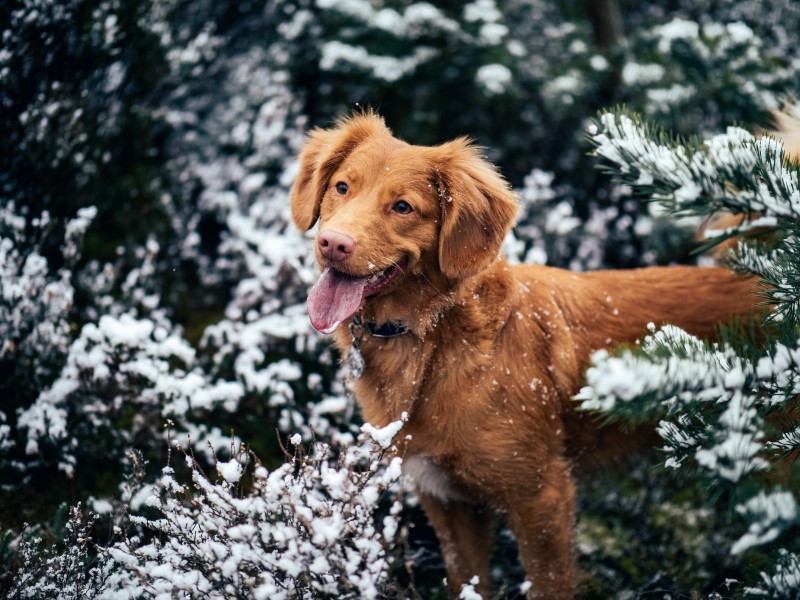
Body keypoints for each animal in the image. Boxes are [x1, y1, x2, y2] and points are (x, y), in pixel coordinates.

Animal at [290, 111, 764, 596]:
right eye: (341, 187)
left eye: (403, 207)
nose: (333, 243)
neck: (433, 341)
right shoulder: (447, 501)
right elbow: (469, 582)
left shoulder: (542, 495)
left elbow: (549, 584)